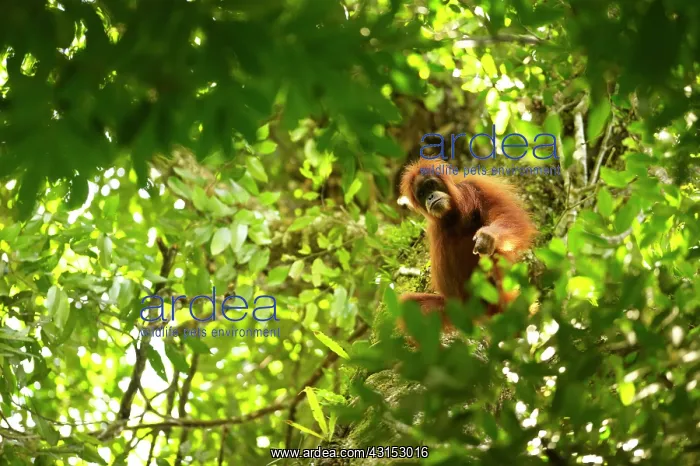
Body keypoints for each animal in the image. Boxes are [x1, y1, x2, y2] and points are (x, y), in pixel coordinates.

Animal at [399, 159, 537, 331]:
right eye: (422, 194)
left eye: (431, 185)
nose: (430, 197)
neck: (454, 213)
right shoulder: (436, 230)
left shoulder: (477, 185)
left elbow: (510, 217)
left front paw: (489, 236)